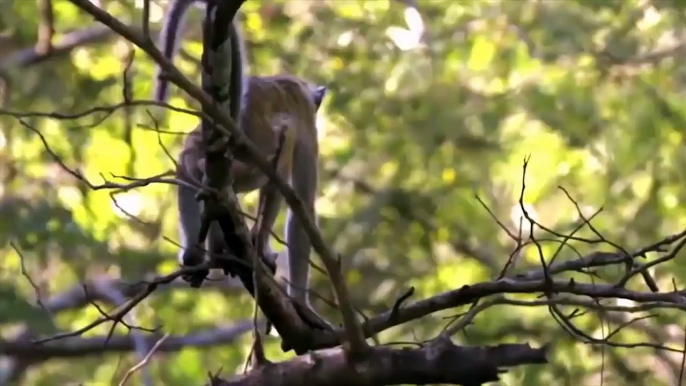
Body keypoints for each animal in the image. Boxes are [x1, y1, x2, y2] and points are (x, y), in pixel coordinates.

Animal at [155, 0, 332, 328]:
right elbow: (301, 205)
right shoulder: (306, 120)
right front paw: (302, 305)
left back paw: (199, 252)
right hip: (248, 157)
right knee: (280, 151)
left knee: (188, 161)